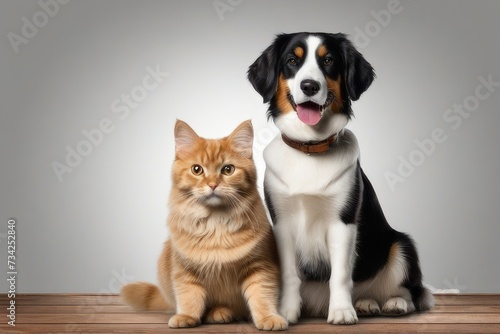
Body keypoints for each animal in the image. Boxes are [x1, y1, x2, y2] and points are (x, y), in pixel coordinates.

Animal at [119, 120, 290, 332]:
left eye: (228, 169)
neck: (216, 225)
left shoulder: (260, 267)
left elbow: (262, 296)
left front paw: (268, 318)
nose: (213, 185)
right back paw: (219, 312)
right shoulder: (184, 271)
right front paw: (186, 316)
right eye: (197, 169)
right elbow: (189, 296)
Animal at [247, 32, 434, 324]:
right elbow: (289, 274)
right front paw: (286, 311)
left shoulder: (343, 221)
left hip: (401, 246)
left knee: (411, 292)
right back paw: (367, 304)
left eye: (328, 61)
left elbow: (341, 275)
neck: (310, 148)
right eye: (292, 61)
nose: (310, 86)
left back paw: (393, 303)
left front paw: (342, 311)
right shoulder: (282, 223)